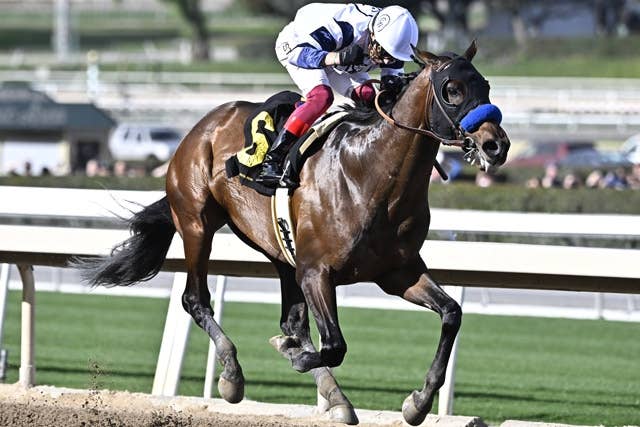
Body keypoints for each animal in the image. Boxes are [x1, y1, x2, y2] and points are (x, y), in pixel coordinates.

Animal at [76, 41, 510, 426]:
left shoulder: (396, 272)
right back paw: (232, 375)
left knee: (292, 322)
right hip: (197, 224)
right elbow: (334, 345)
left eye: (486, 86)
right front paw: (292, 356)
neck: (370, 174)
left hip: (281, 252)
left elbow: (451, 313)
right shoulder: (317, 272)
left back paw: (336, 398)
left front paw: (418, 403)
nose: (496, 145)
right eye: (452, 89)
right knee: (195, 299)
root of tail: (204, 124)